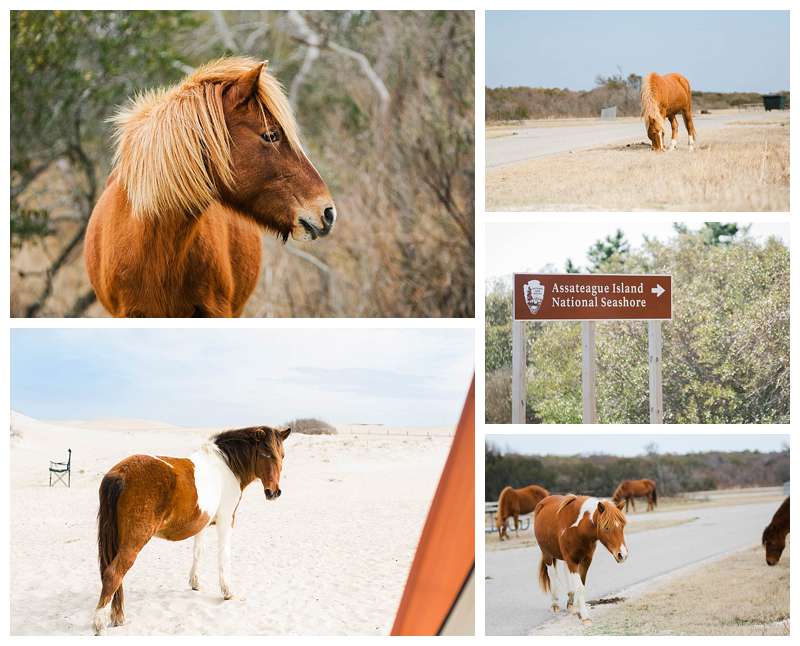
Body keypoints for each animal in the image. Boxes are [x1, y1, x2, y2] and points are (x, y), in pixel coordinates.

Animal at [92, 428, 290, 636]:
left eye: (282, 455)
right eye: (266, 454)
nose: (274, 492)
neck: (226, 466)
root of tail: (119, 474)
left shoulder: (201, 523)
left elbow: (197, 552)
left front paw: (195, 583)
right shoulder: (226, 520)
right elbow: (223, 556)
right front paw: (227, 592)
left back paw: (118, 617)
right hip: (133, 543)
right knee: (113, 574)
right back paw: (99, 623)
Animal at [536, 496, 628, 628]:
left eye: (622, 526)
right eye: (606, 528)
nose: (622, 555)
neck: (578, 529)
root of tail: (544, 502)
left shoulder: (585, 561)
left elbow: (581, 585)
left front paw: (577, 608)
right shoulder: (572, 560)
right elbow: (579, 586)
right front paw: (585, 617)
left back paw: (570, 602)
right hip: (547, 554)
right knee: (552, 575)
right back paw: (555, 604)